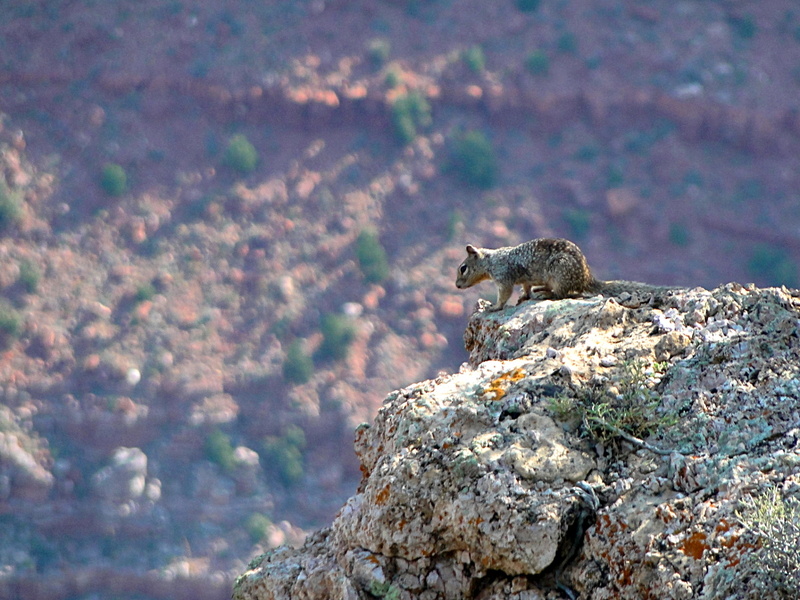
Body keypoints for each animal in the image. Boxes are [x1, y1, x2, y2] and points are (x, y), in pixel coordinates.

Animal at [455, 238, 678, 311]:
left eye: (463, 268)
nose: (457, 285)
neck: (491, 261)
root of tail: (587, 277)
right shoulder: (523, 279)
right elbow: (525, 287)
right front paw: (524, 297)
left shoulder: (504, 278)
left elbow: (504, 295)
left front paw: (494, 307)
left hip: (560, 273)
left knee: (561, 294)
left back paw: (546, 294)